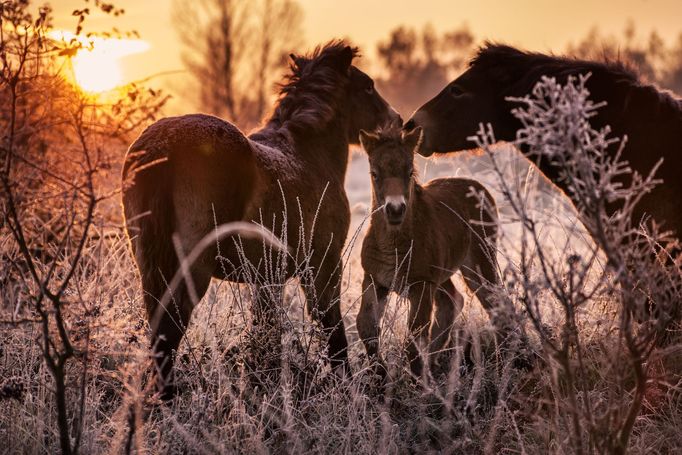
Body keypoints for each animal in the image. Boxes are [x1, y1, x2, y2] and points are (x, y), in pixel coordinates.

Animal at [122, 42, 402, 400]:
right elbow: (332, 327)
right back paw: (169, 396)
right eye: (367, 86)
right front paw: (344, 384)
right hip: (192, 267)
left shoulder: (268, 277)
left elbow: (265, 331)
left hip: (149, 263)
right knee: (171, 325)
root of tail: (162, 147)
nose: (397, 120)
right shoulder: (323, 266)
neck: (310, 156)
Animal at [356, 124, 500, 378]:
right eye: (374, 173)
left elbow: (414, 336)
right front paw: (380, 374)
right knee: (453, 301)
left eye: (409, 172)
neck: (394, 248)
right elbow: (366, 326)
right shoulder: (374, 279)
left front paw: (417, 381)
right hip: (442, 274)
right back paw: (432, 362)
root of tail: (480, 188)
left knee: (495, 302)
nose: (395, 209)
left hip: (479, 264)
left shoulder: (421, 285)